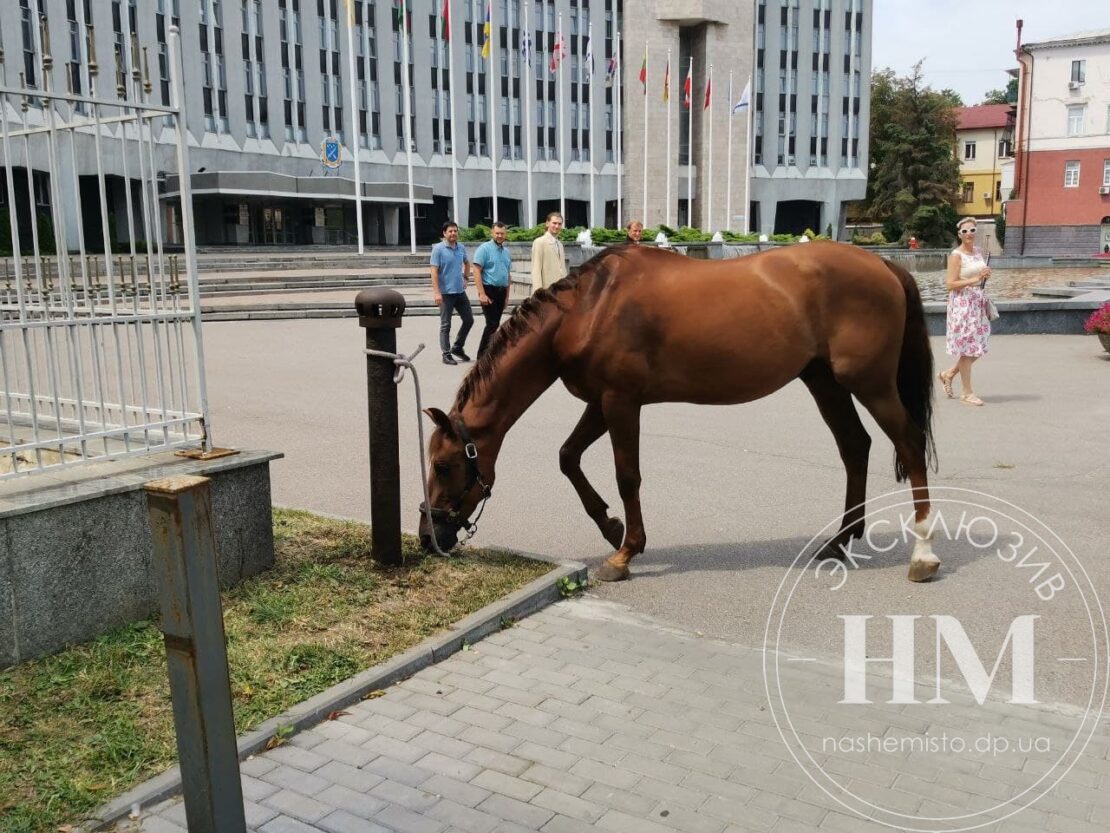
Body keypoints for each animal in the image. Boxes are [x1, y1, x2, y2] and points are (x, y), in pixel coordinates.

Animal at [419, 241, 941, 581]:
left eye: (443, 465)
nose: (428, 537)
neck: (589, 308)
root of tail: (885, 266)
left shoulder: (621, 402)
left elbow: (627, 475)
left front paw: (625, 553)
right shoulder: (601, 402)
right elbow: (568, 457)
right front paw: (611, 527)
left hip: (870, 384)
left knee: (909, 443)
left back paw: (922, 552)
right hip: (824, 381)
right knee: (855, 447)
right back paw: (839, 541)